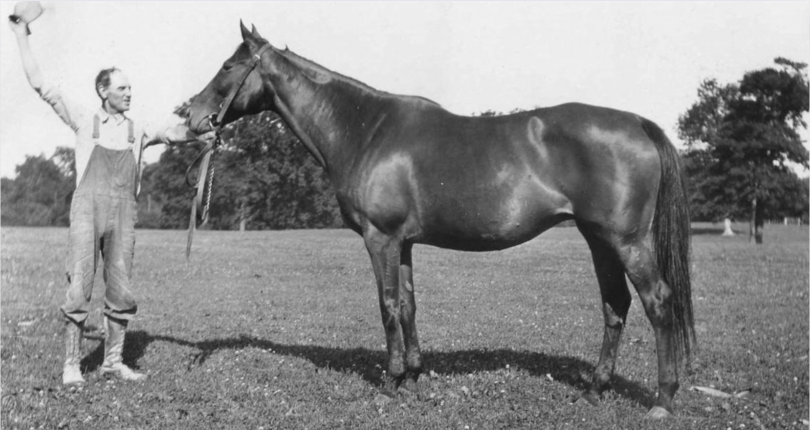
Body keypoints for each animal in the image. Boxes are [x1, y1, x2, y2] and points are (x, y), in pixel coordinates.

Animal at [186, 22, 692, 416]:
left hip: (627, 241)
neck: (365, 129)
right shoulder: (404, 243)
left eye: (228, 66)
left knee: (658, 302)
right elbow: (409, 305)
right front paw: (413, 376)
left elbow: (388, 305)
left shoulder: (381, 239)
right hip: (597, 239)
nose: (191, 114)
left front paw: (390, 383)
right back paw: (594, 391)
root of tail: (638, 123)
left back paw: (663, 400)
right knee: (615, 306)